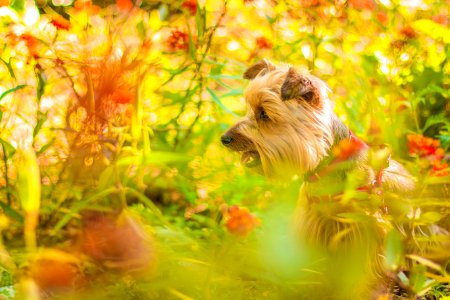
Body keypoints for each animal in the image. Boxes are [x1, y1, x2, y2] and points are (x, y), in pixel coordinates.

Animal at [220, 59, 416, 298]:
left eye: (264, 114)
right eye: (249, 109)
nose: (224, 138)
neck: (325, 168)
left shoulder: (368, 237)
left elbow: (363, 277)